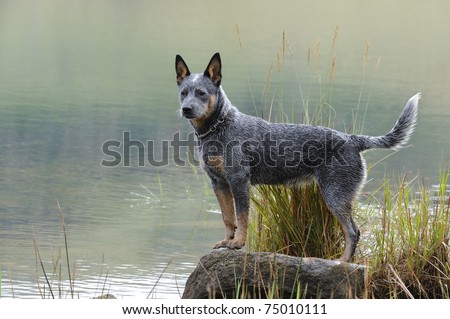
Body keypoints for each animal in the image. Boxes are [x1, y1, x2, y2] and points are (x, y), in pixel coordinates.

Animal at [175, 53, 418, 262]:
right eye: (184, 92)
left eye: (201, 93)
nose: (186, 109)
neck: (220, 126)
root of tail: (352, 139)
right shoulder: (219, 183)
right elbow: (228, 218)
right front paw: (227, 242)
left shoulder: (239, 181)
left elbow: (242, 217)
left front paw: (238, 243)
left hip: (335, 196)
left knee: (353, 231)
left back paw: (342, 262)